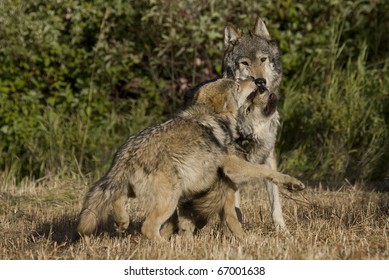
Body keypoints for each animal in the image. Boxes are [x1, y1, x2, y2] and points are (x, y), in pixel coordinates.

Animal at [77, 78, 304, 241]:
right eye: (238, 85)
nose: (259, 81)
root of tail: (128, 153)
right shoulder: (231, 166)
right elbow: (266, 172)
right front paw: (293, 183)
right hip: (170, 199)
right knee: (147, 228)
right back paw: (167, 247)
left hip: (136, 190)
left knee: (118, 199)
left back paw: (123, 222)